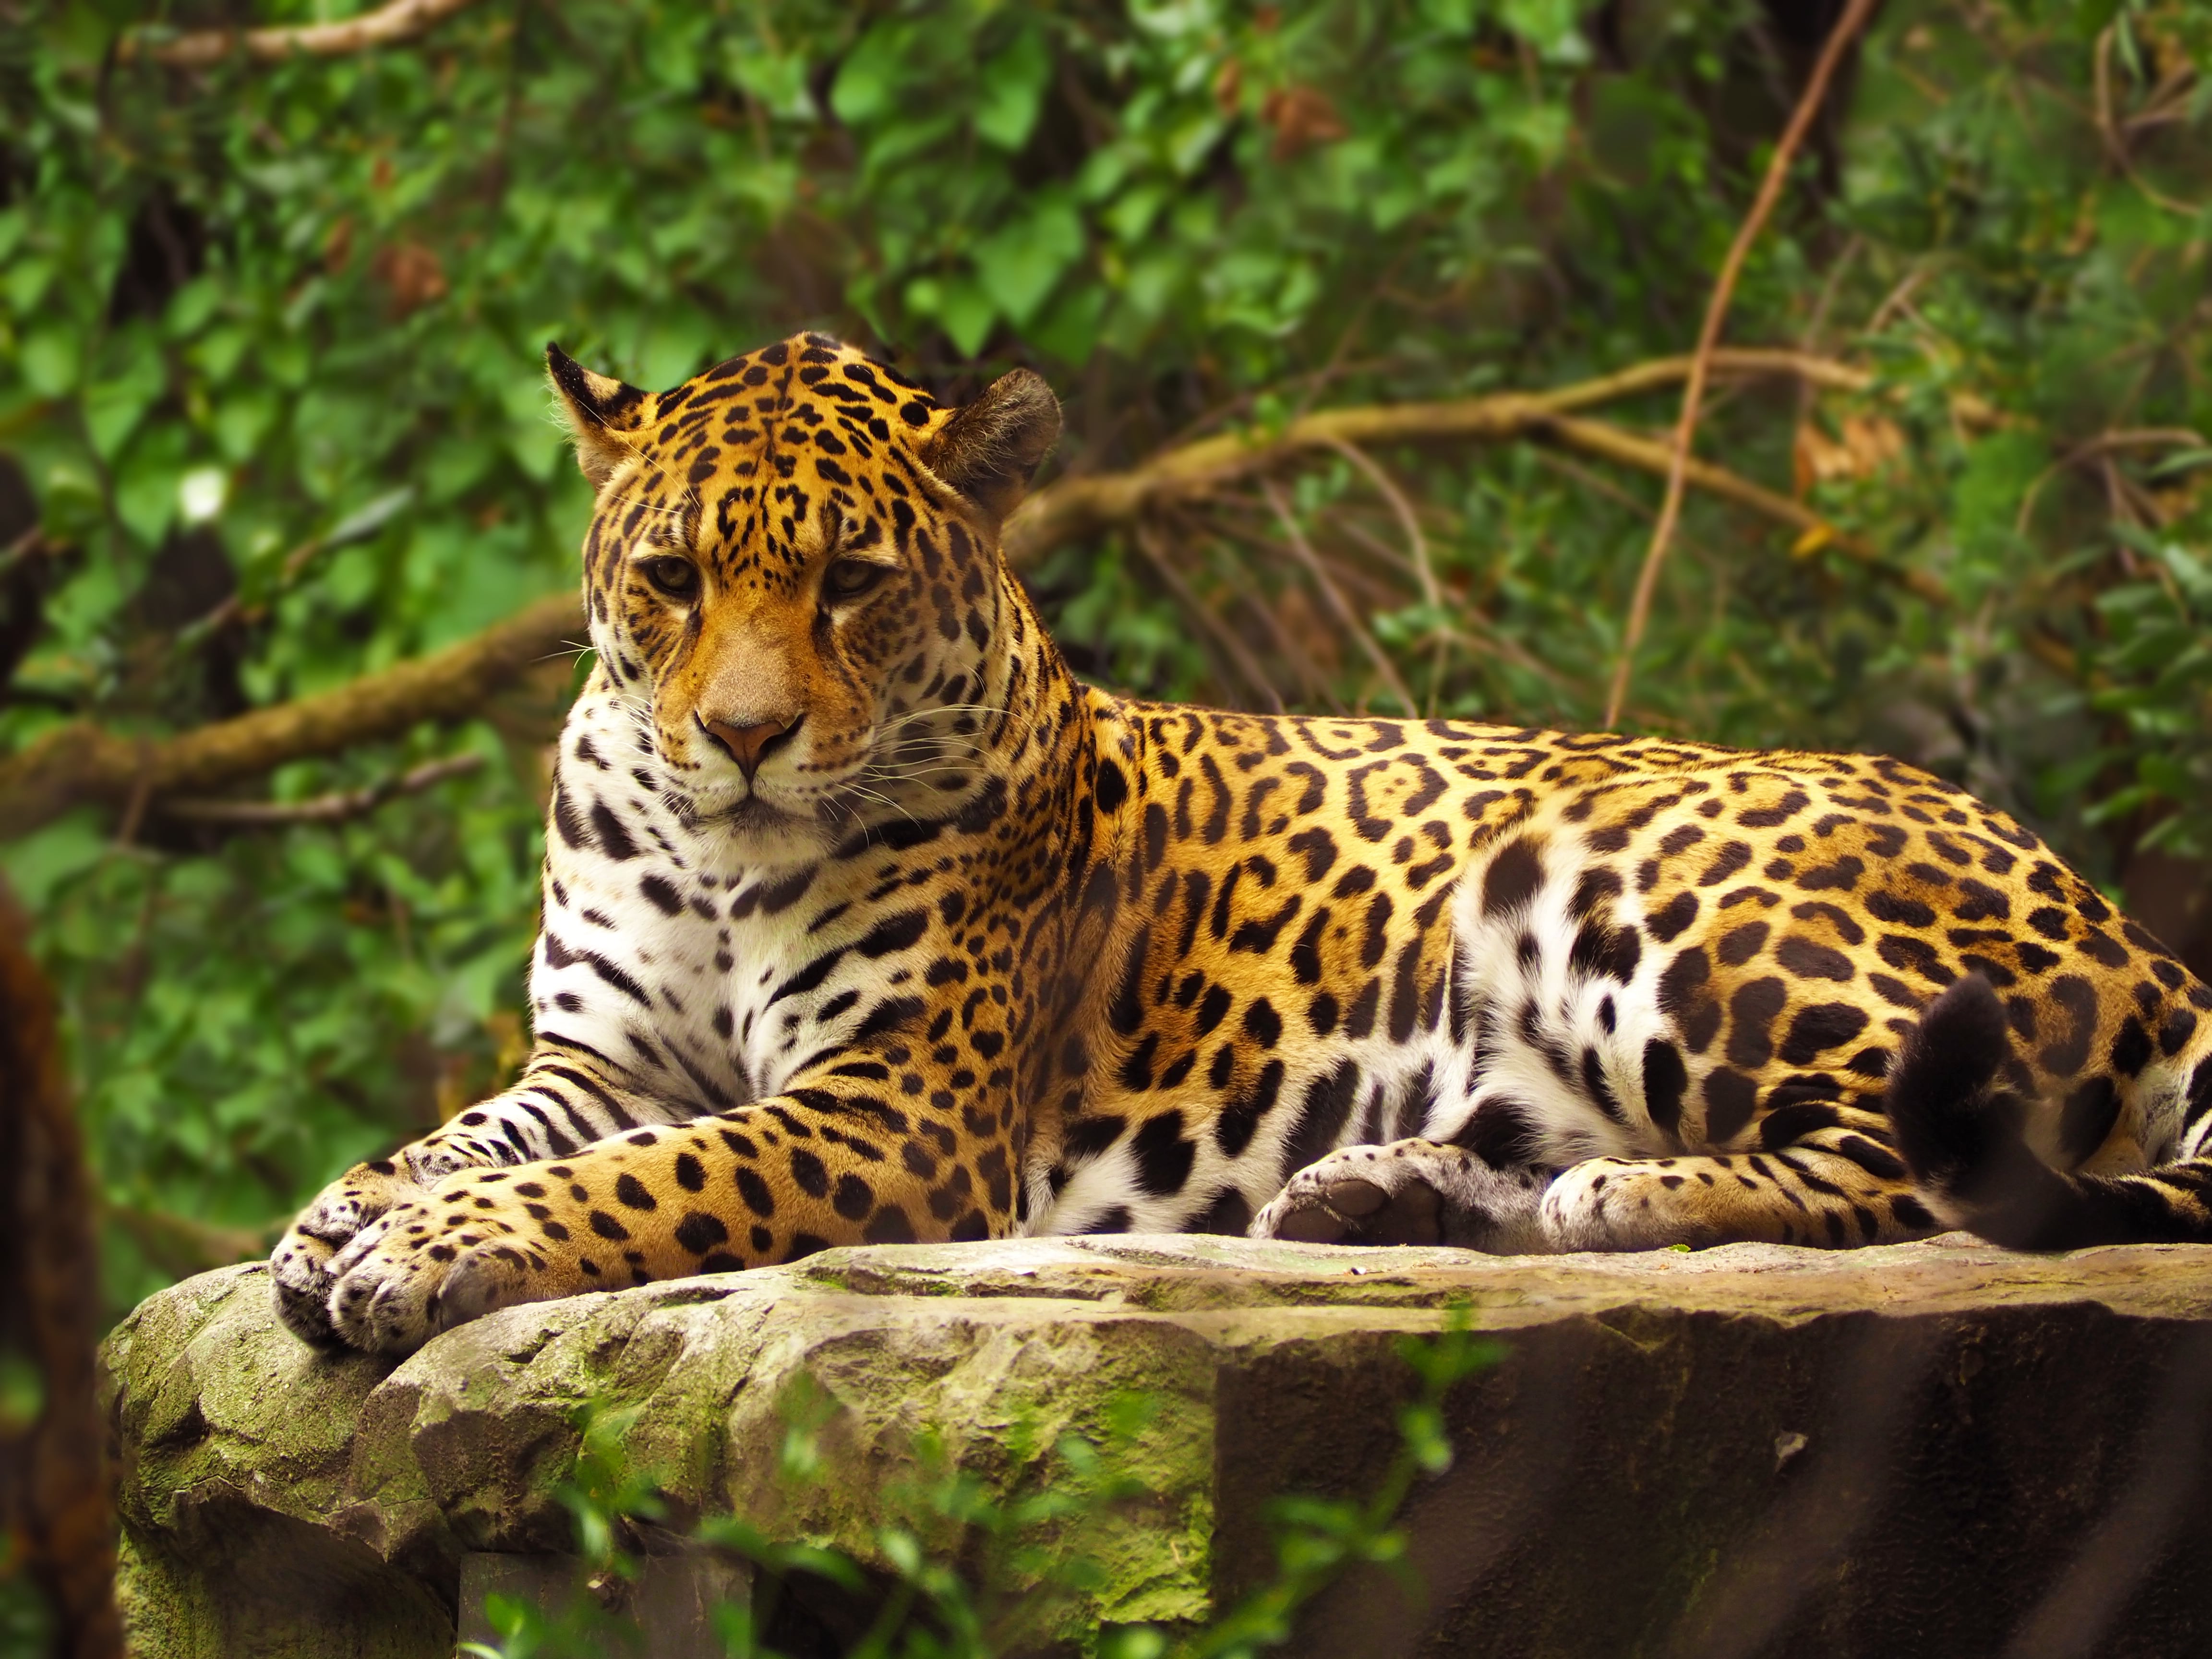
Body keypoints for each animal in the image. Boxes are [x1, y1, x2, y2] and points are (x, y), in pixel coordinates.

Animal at [271, 330, 2212, 1356]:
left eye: (852, 582)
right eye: (671, 578)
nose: (743, 738)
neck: (717, 853)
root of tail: (2130, 930)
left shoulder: (895, 1109)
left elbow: (647, 1179)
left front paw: (426, 1252)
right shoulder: (598, 1056)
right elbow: (488, 1130)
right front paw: (341, 1212)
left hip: (1629, 882)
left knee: (1924, 1165)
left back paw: (1616, 1199)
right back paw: (1390, 1192)